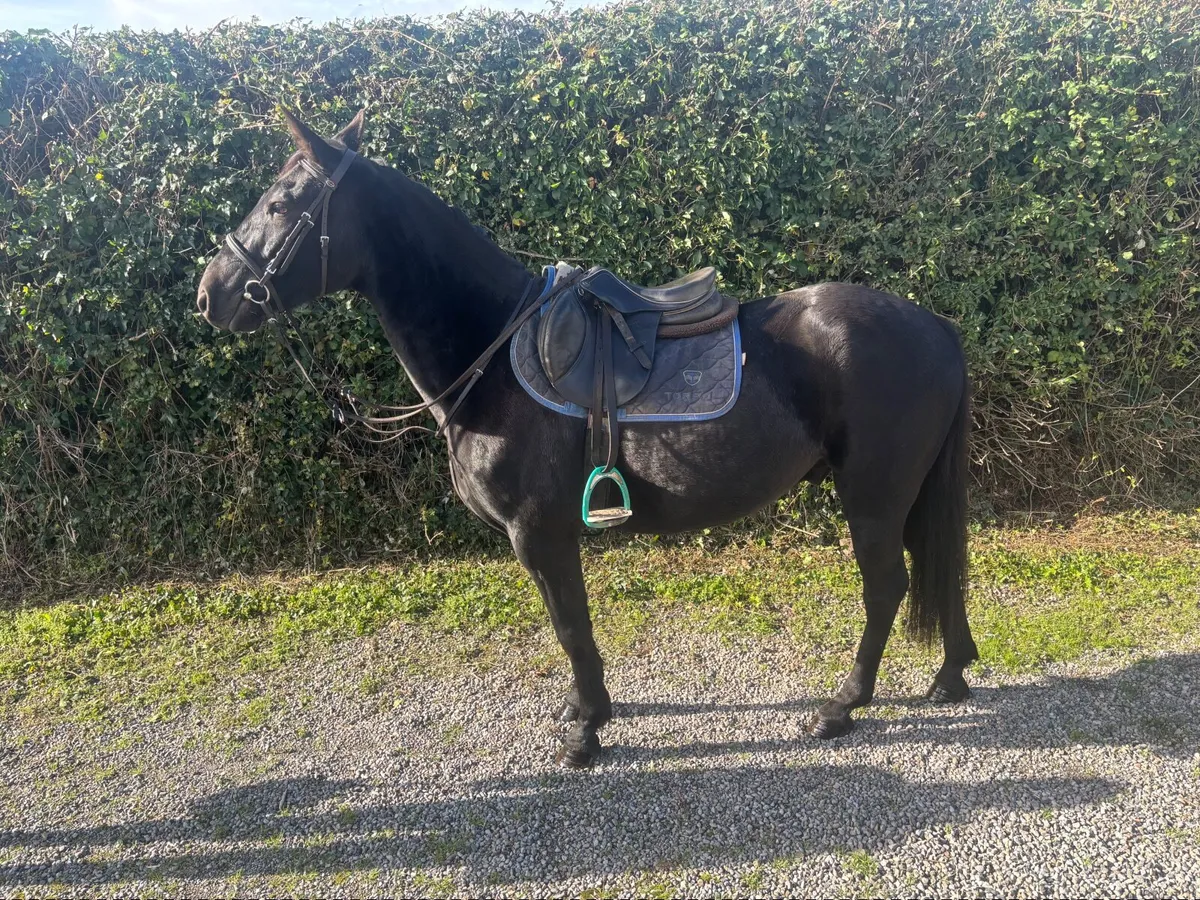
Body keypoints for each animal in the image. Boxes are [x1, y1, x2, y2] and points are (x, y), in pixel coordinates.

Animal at [196, 110, 978, 768]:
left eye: (280, 204)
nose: (211, 294)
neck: (492, 352)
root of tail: (938, 329)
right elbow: (567, 624)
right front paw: (583, 711)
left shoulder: (539, 532)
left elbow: (571, 625)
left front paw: (587, 731)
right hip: (905, 493)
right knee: (937, 566)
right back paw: (951, 675)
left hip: (872, 494)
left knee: (887, 585)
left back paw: (842, 707)